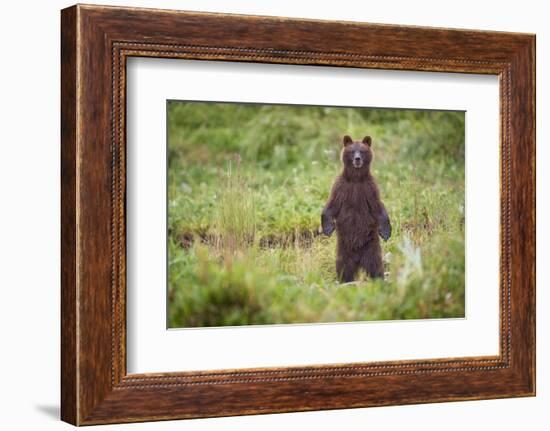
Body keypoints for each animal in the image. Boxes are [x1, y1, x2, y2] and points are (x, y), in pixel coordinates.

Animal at [322, 135, 394, 284]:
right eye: (352, 151)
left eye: (362, 151)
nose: (357, 159)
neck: (356, 179)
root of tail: (358, 260)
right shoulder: (342, 187)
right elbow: (331, 205)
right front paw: (328, 228)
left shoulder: (369, 188)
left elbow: (378, 207)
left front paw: (385, 231)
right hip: (344, 249)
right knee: (343, 266)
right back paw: (344, 281)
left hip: (371, 247)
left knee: (375, 265)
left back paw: (378, 279)